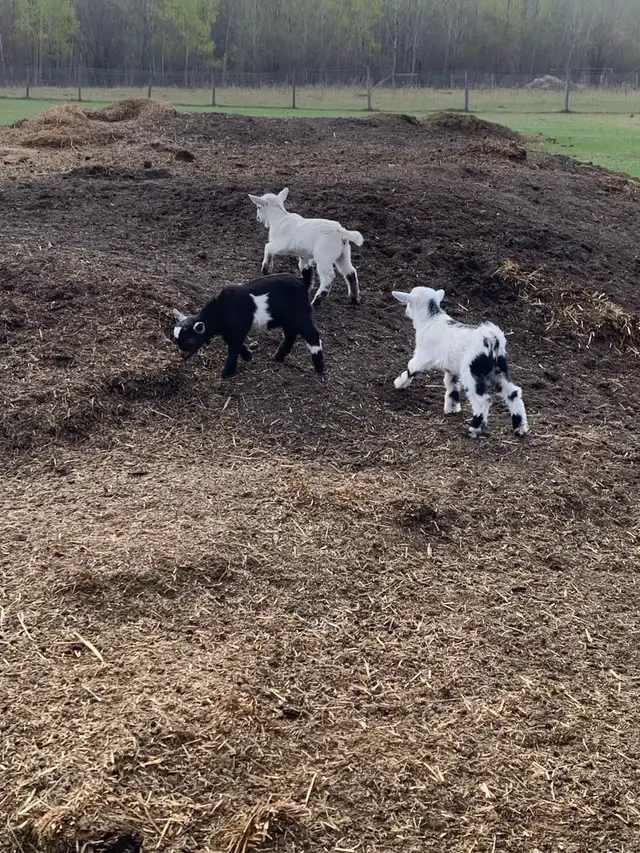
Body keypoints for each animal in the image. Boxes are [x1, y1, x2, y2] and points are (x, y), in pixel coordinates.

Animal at [172, 268, 324, 379]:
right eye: (177, 341)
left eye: (190, 340)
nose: (183, 355)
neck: (221, 310)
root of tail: (303, 281)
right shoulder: (230, 330)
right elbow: (234, 343)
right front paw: (248, 356)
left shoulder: (237, 327)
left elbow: (234, 346)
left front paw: (227, 373)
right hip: (288, 319)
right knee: (290, 335)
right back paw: (278, 357)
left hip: (301, 314)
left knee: (312, 335)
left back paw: (319, 367)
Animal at [392, 286, 529, 438]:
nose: (406, 312)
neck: (430, 319)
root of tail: (493, 340)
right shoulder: (452, 368)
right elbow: (451, 385)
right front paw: (452, 408)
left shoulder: (423, 355)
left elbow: (411, 367)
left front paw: (399, 383)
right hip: (499, 370)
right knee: (513, 393)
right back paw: (520, 427)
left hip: (472, 371)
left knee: (483, 400)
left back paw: (474, 429)